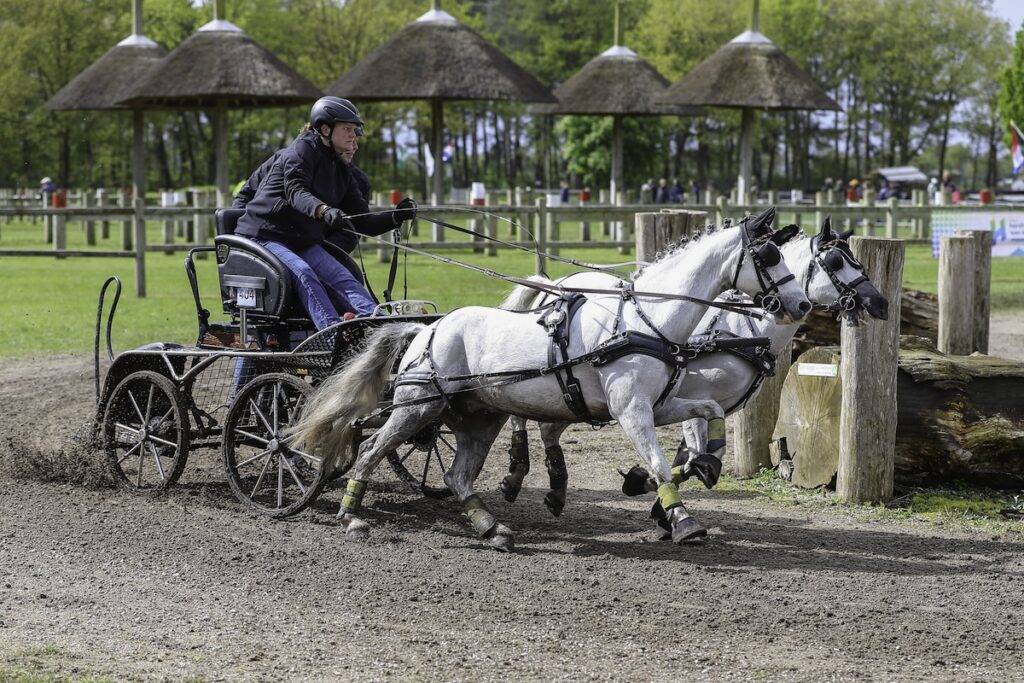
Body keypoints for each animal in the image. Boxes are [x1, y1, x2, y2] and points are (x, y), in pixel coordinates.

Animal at [289, 208, 812, 550]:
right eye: (770, 256)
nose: (802, 305)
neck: (646, 320)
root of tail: (427, 328)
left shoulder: (659, 403)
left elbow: (709, 410)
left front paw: (704, 463)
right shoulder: (631, 410)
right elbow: (662, 465)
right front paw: (683, 521)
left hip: (479, 417)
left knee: (457, 475)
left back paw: (491, 528)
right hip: (418, 408)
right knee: (371, 451)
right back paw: (351, 515)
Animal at [497, 217, 889, 536]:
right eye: (835, 262)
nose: (880, 303)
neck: (741, 329)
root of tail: (559, 281)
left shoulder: (688, 403)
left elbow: (692, 458)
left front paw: (657, 499)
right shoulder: (683, 398)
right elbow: (689, 453)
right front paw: (662, 501)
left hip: (570, 390)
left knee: (548, 427)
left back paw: (553, 488)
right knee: (518, 413)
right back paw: (515, 474)